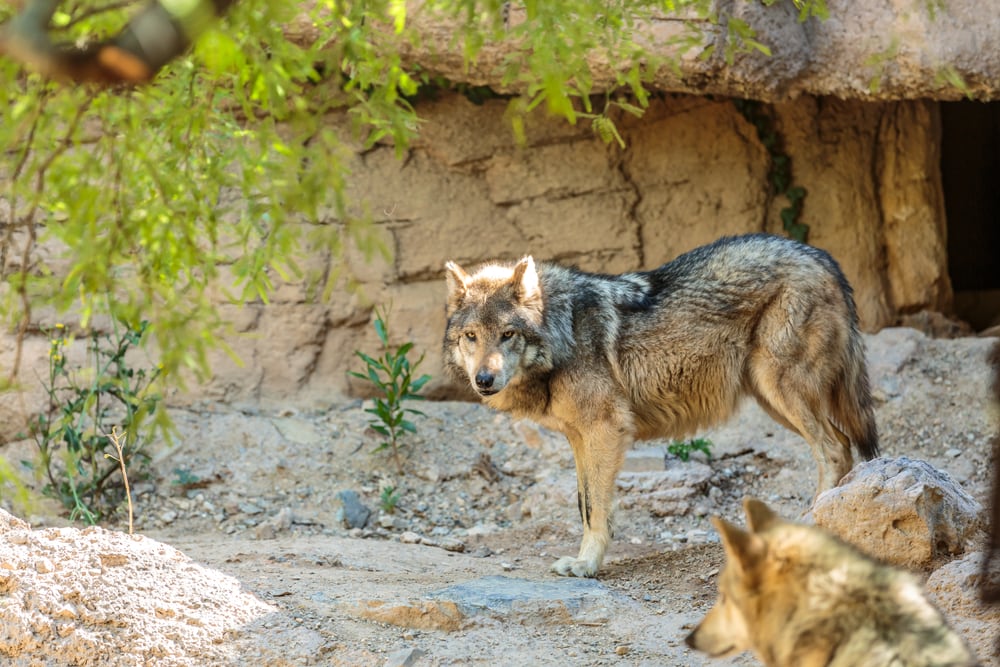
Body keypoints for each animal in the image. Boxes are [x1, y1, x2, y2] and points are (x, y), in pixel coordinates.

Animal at [443, 233, 878, 577]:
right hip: (771, 398)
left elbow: (596, 509)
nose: (484, 380)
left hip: (780, 390)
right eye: (471, 336)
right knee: (842, 447)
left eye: (507, 334)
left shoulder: (605, 429)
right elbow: (586, 505)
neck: (561, 332)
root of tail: (821, 256)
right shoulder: (579, 438)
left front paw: (586, 565)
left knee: (834, 450)